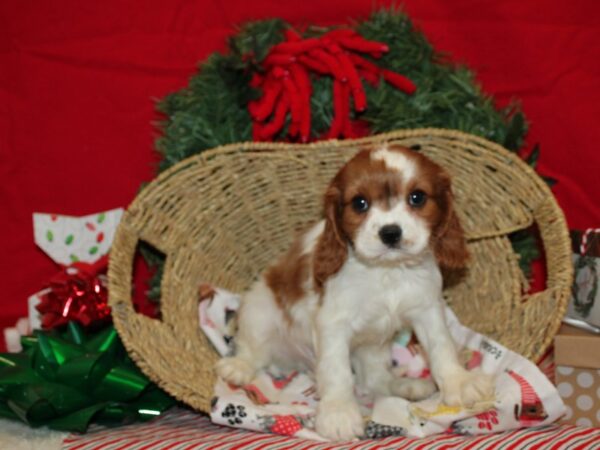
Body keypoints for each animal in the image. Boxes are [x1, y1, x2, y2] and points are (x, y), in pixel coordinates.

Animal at [218, 146, 494, 442]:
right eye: (360, 203)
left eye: (417, 197)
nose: (390, 233)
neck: (387, 271)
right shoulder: (333, 324)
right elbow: (336, 371)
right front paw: (338, 413)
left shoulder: (428, 309)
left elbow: (442, 347)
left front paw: (459, 382)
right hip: (258, 312)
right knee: (252, 348)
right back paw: (238, 367)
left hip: (373, 346)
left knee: (374, 378)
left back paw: (404, 386)